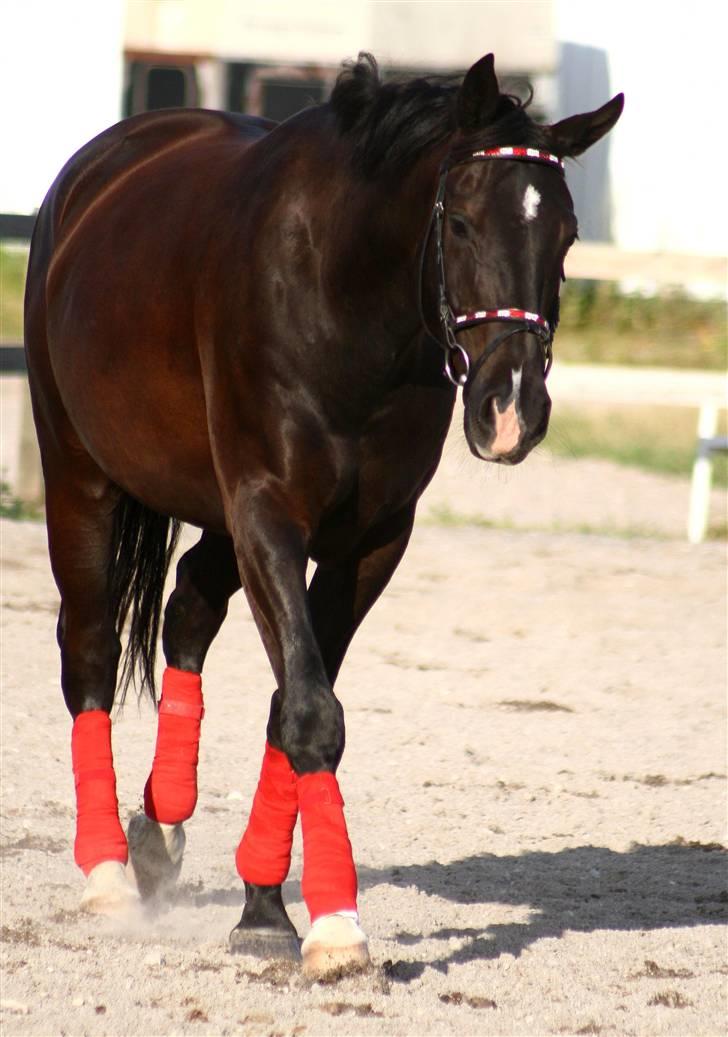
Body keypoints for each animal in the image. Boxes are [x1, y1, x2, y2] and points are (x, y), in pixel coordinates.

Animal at [25, 54, 626, 978]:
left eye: (563, 236)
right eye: (461, 221)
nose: (511, 410)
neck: (344, 301)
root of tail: (101, 164)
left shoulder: (370, 541)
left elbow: (295, 703)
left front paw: (267, 903)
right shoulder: (268, 515)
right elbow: (310, 710)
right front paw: (330, 923)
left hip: (215, 512)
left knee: (188, 607)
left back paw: (161, 824)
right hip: (81, 477)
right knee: (88, 651)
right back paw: (108, 874)